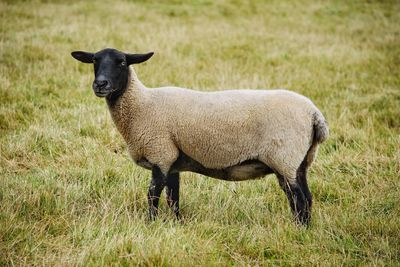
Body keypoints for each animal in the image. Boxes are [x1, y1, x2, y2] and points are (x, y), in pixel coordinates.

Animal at [71, 48, 328, 226]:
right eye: (94, 61)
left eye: (122, 62)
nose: (100, 84)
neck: (142, 104)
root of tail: (314, 114)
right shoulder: (172, 160)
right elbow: (173, 198)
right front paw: (176, 223)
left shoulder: (160, 153)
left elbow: (153, 194)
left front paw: (150, 224)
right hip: (300, 161)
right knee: (307, 198)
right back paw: (305, 229)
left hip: (284, 158)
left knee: (298, 199)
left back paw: (298, 229)